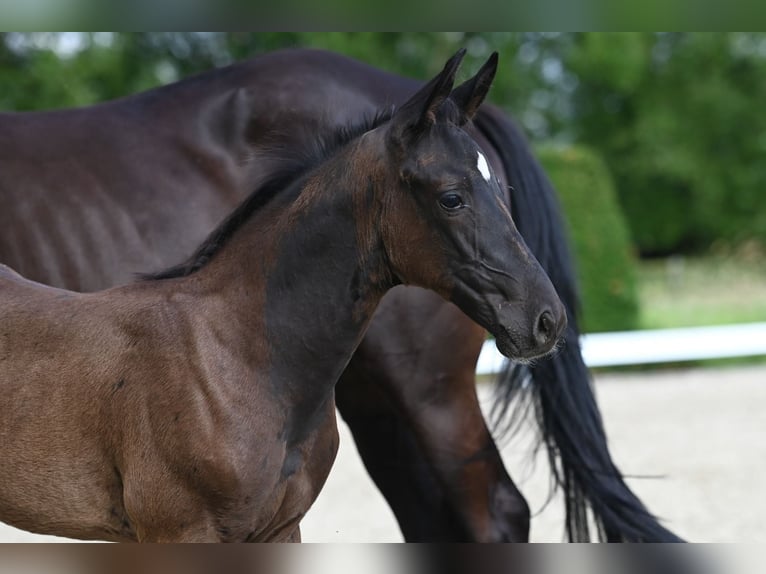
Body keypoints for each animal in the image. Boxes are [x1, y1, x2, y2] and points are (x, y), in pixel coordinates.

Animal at [0, 47, 684, 544]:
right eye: (452, 196)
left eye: (498, 187)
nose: (545, 320)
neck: (231, 354)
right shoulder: (177, 533)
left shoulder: (279, 529)